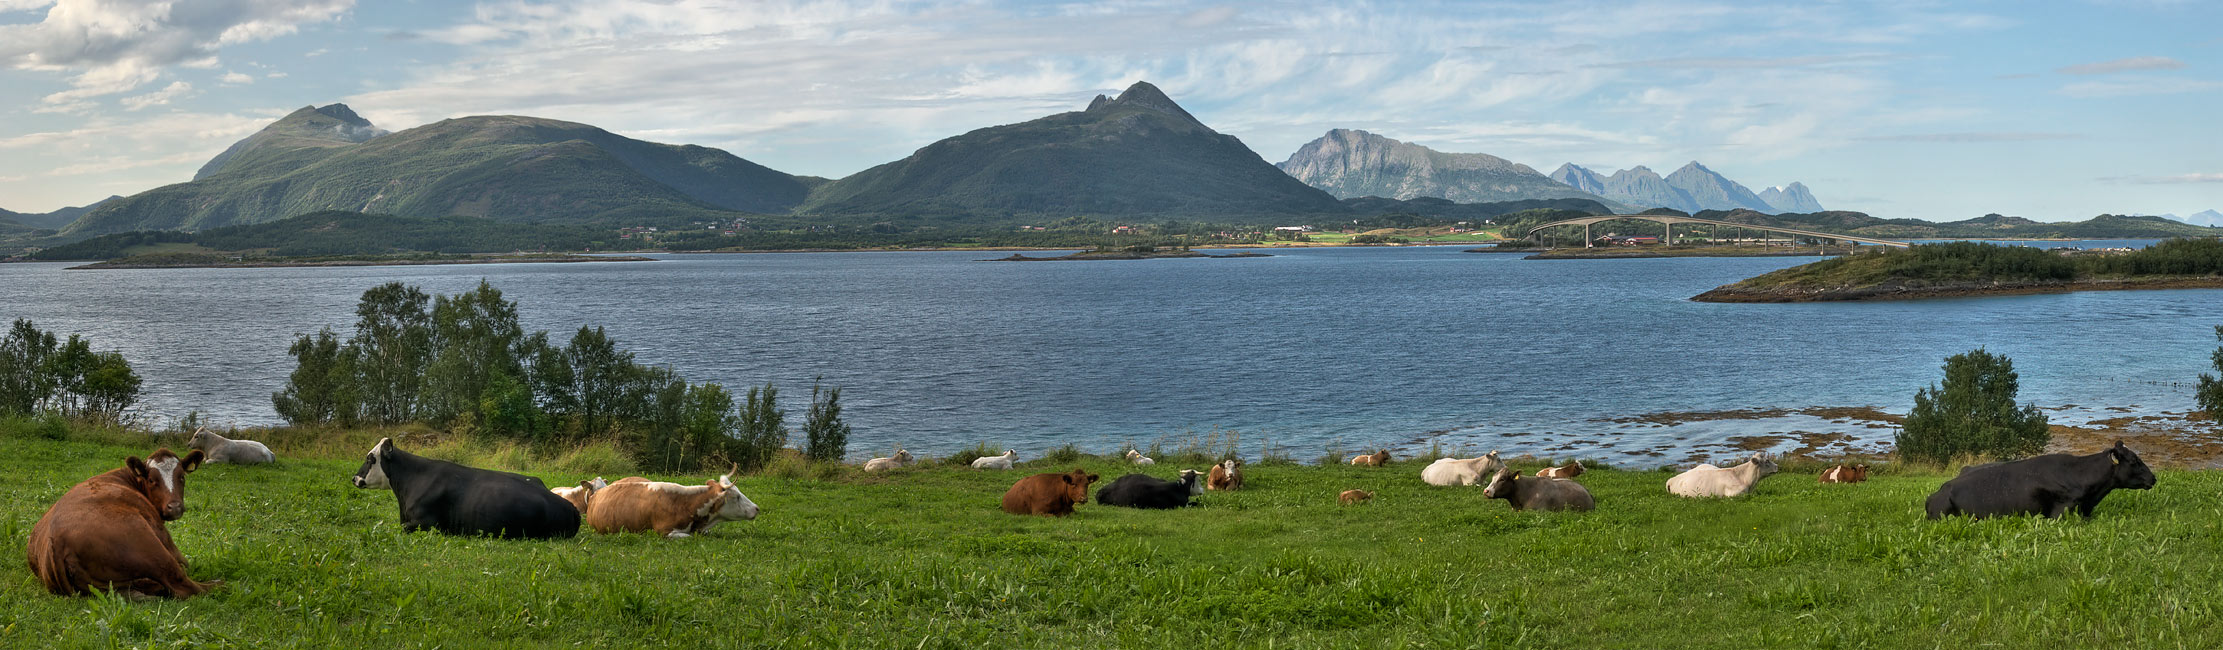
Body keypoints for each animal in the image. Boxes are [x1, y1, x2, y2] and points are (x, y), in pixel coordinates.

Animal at [27, 447, 213, 601]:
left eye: (181, 477)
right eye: (151, 480)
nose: (174, 507)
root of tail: (56, 540)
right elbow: (185, 563)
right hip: (150, 546)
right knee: (185, 585)